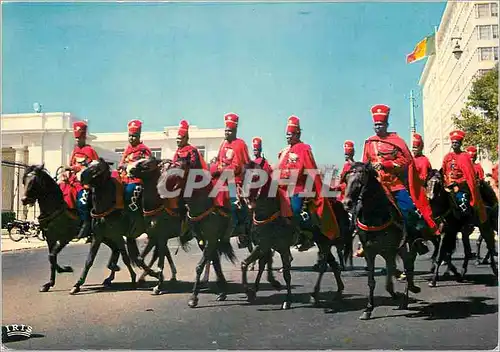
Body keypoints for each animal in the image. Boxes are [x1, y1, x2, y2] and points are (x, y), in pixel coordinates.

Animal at [21, 164, 123, 292]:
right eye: (24, 180)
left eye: (34, 181)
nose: (24, 199)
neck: (56, 207)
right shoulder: (50, 238)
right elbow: (51, 258)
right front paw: (50, 283)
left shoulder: (65, 237)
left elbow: (52, 256)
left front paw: (64, 270)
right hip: (104, 237)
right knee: (115, 249)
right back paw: (110, 276)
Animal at [342, 164, 420, 320]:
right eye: (346, 179)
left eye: (361, 180)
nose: (347, 203)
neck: (374, 216)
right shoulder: (369, 251)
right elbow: (372, 281)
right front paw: (368, 309)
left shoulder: (390, 248)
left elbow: (392, 273)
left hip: (402, 247)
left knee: (408, 265)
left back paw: (408, 294)